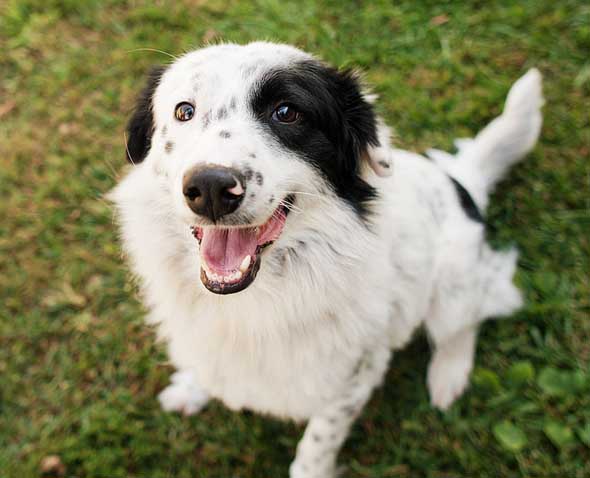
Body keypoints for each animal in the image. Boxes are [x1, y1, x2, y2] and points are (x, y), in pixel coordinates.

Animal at [111, 42, 544, 478]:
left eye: (287, 112)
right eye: (184, 111)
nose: (211, 188)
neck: (257, 299)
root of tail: (460, 179)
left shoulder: (354, 375)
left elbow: (319, 441)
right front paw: (191, 387)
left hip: (454, 284)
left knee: (467, 322)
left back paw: (448, 376)